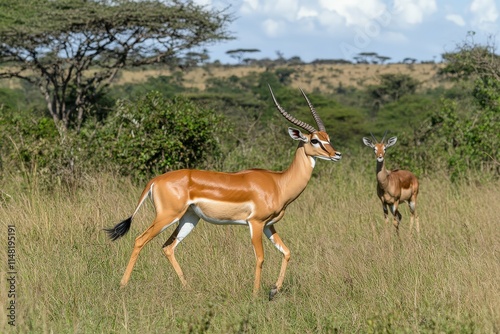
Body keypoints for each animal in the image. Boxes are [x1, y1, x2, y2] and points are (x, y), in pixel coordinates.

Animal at [103, 85, 342, 298]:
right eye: (314, 140)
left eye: (328, 137)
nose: (337, 154)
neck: (279, 183)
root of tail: (155, 180)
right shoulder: (255, 223)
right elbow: (260, 258)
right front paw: (256, 294)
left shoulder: (269, 225)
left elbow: (287, 252)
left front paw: (273, 290)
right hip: (167, 216)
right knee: (140, 240)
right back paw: (123, 285)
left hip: (189, 219)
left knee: (168, 247)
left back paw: (188, 288)